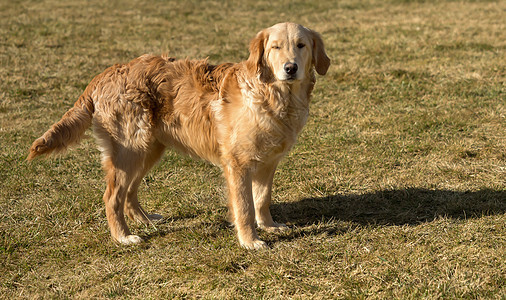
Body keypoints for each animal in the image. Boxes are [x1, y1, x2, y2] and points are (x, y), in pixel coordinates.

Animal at [27, 22, 330, 250]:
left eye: (301, 45)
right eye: (275, 47)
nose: (290, 68)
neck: (273, 96)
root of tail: (107, 72)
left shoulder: (268, 162)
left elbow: (262, 199)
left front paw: (269, 226)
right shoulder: (237, 164)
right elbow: (244, 207)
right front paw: (250, 241)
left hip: (148, 149)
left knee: (129, 192)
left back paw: (145, 220)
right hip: (130, 149)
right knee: (112, 196)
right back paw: (123, 237)